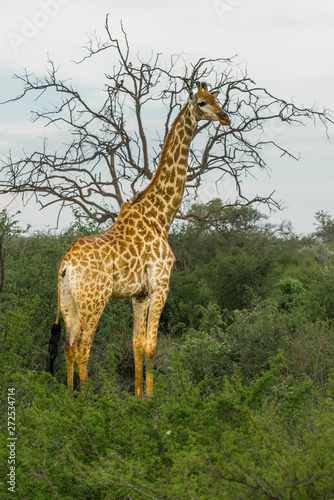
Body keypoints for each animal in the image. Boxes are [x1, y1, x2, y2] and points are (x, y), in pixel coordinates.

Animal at [48, 82, 231, 396]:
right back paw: (85, 401)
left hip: (68, 301)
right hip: (94, 299)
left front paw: (137, 396)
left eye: (217, 99)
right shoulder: (161, 286)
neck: (161, 217)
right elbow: (151, 347)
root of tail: (65, 265)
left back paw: (68, 399)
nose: (225, 117)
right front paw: (151, 398)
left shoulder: (140, 294)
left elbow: (135, 346)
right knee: (83, 346)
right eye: (202, 102)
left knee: (69, 347)